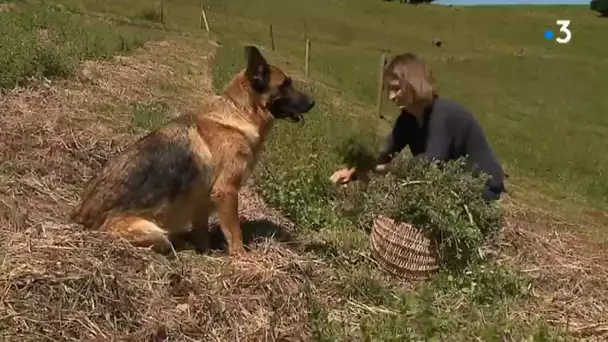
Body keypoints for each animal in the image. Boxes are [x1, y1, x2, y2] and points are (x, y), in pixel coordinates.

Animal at [71, 44, 316, 254]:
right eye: (285, 85)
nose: (313, 103)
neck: (239, 112)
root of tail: (80, 216)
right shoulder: (226, 191)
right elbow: (235, 233)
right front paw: (242, 259)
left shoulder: (203, 201)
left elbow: (202, 232)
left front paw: (206, 252)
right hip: (153, 231)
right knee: (165, 243)